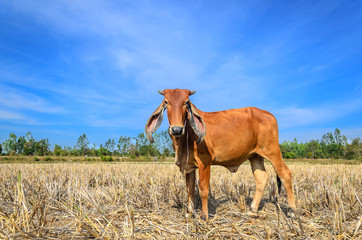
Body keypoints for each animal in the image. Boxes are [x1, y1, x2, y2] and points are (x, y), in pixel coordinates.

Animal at [145, 88, 296, 219]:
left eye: (186, 102)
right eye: (166, 102)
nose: (176, 129)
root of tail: (269, 114)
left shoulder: (204, 162)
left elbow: (203, 189)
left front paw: (204, 216)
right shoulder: (189, 165)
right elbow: (190, 188)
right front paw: (189, 212)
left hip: (273, 151)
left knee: (285, 174)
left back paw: (292, 211)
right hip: (255, 156)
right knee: (262, 178)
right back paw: (252, 210)